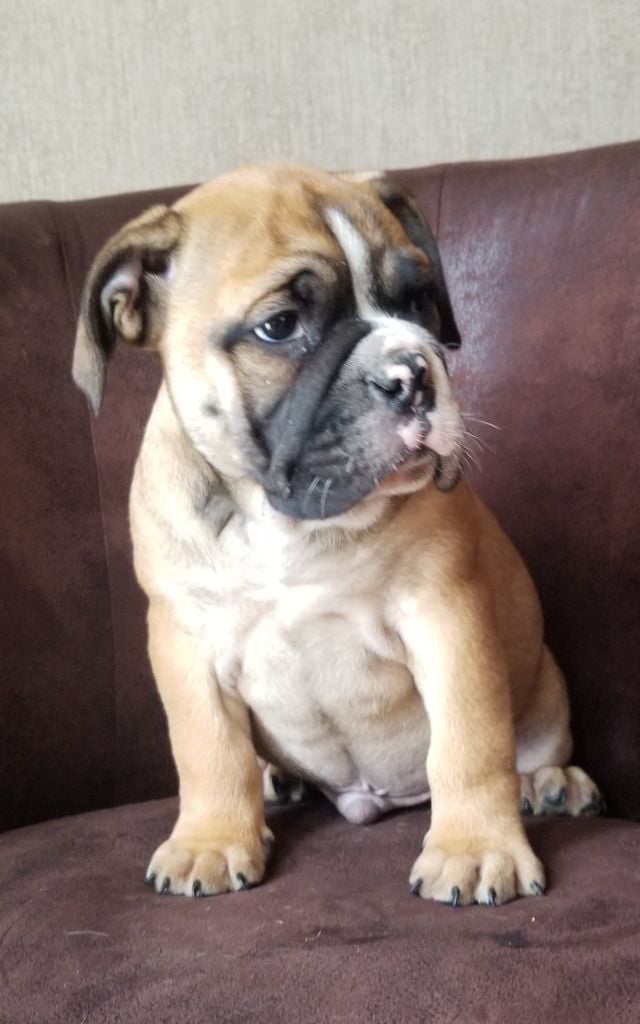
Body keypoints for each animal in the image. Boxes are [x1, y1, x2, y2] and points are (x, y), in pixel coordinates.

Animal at [72, 162, 602, 906]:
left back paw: (550, 784)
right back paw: (277, 781)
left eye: (420, 302)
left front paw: (475, 849)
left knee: (531, 747)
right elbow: (207, 749)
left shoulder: (446, 619)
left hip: (545, 687)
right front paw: (211, 838)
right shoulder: (185, 641)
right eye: (279, 327)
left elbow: (469, 745)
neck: (288, 520)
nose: (411, 371)